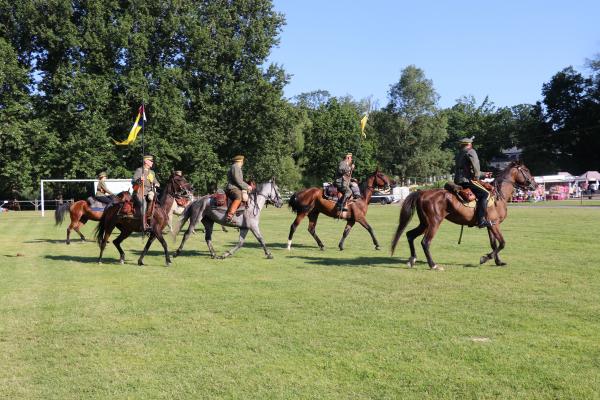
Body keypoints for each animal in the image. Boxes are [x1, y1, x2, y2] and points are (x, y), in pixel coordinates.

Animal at [391, 161, 537, 270]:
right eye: (526, 170)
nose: (534, 185)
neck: (498, 195)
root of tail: (422, 193)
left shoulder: (490, 225)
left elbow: (494, 244)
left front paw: (498, 262)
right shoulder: (495, 225)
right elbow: (502, 243)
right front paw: (484, 258)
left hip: (424, 223)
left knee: (410, 235)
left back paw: (412, 259)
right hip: (434, 223)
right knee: (425, 242)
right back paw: (433, 265)